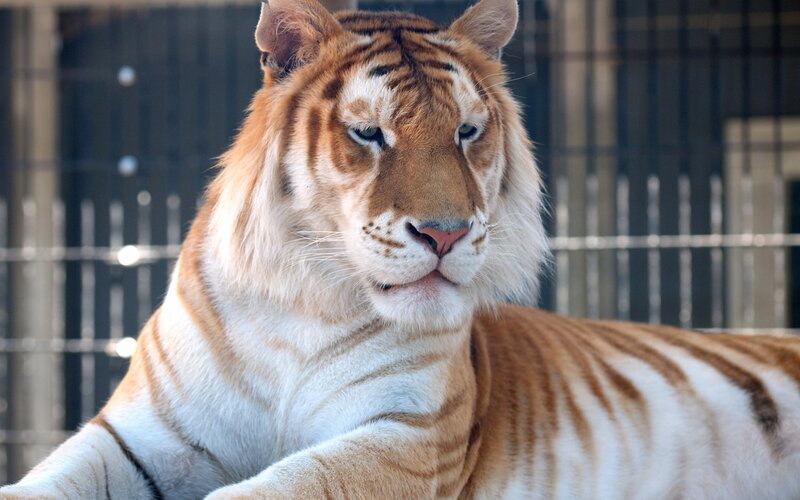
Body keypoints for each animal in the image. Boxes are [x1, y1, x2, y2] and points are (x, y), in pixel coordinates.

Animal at [3, 0, 800, 498]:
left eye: (468, 133)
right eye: (368, 134)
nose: (445, 234)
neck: (305, 305)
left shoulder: (407, 435)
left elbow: (287, 486)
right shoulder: (140, 434)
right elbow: (48, 482)